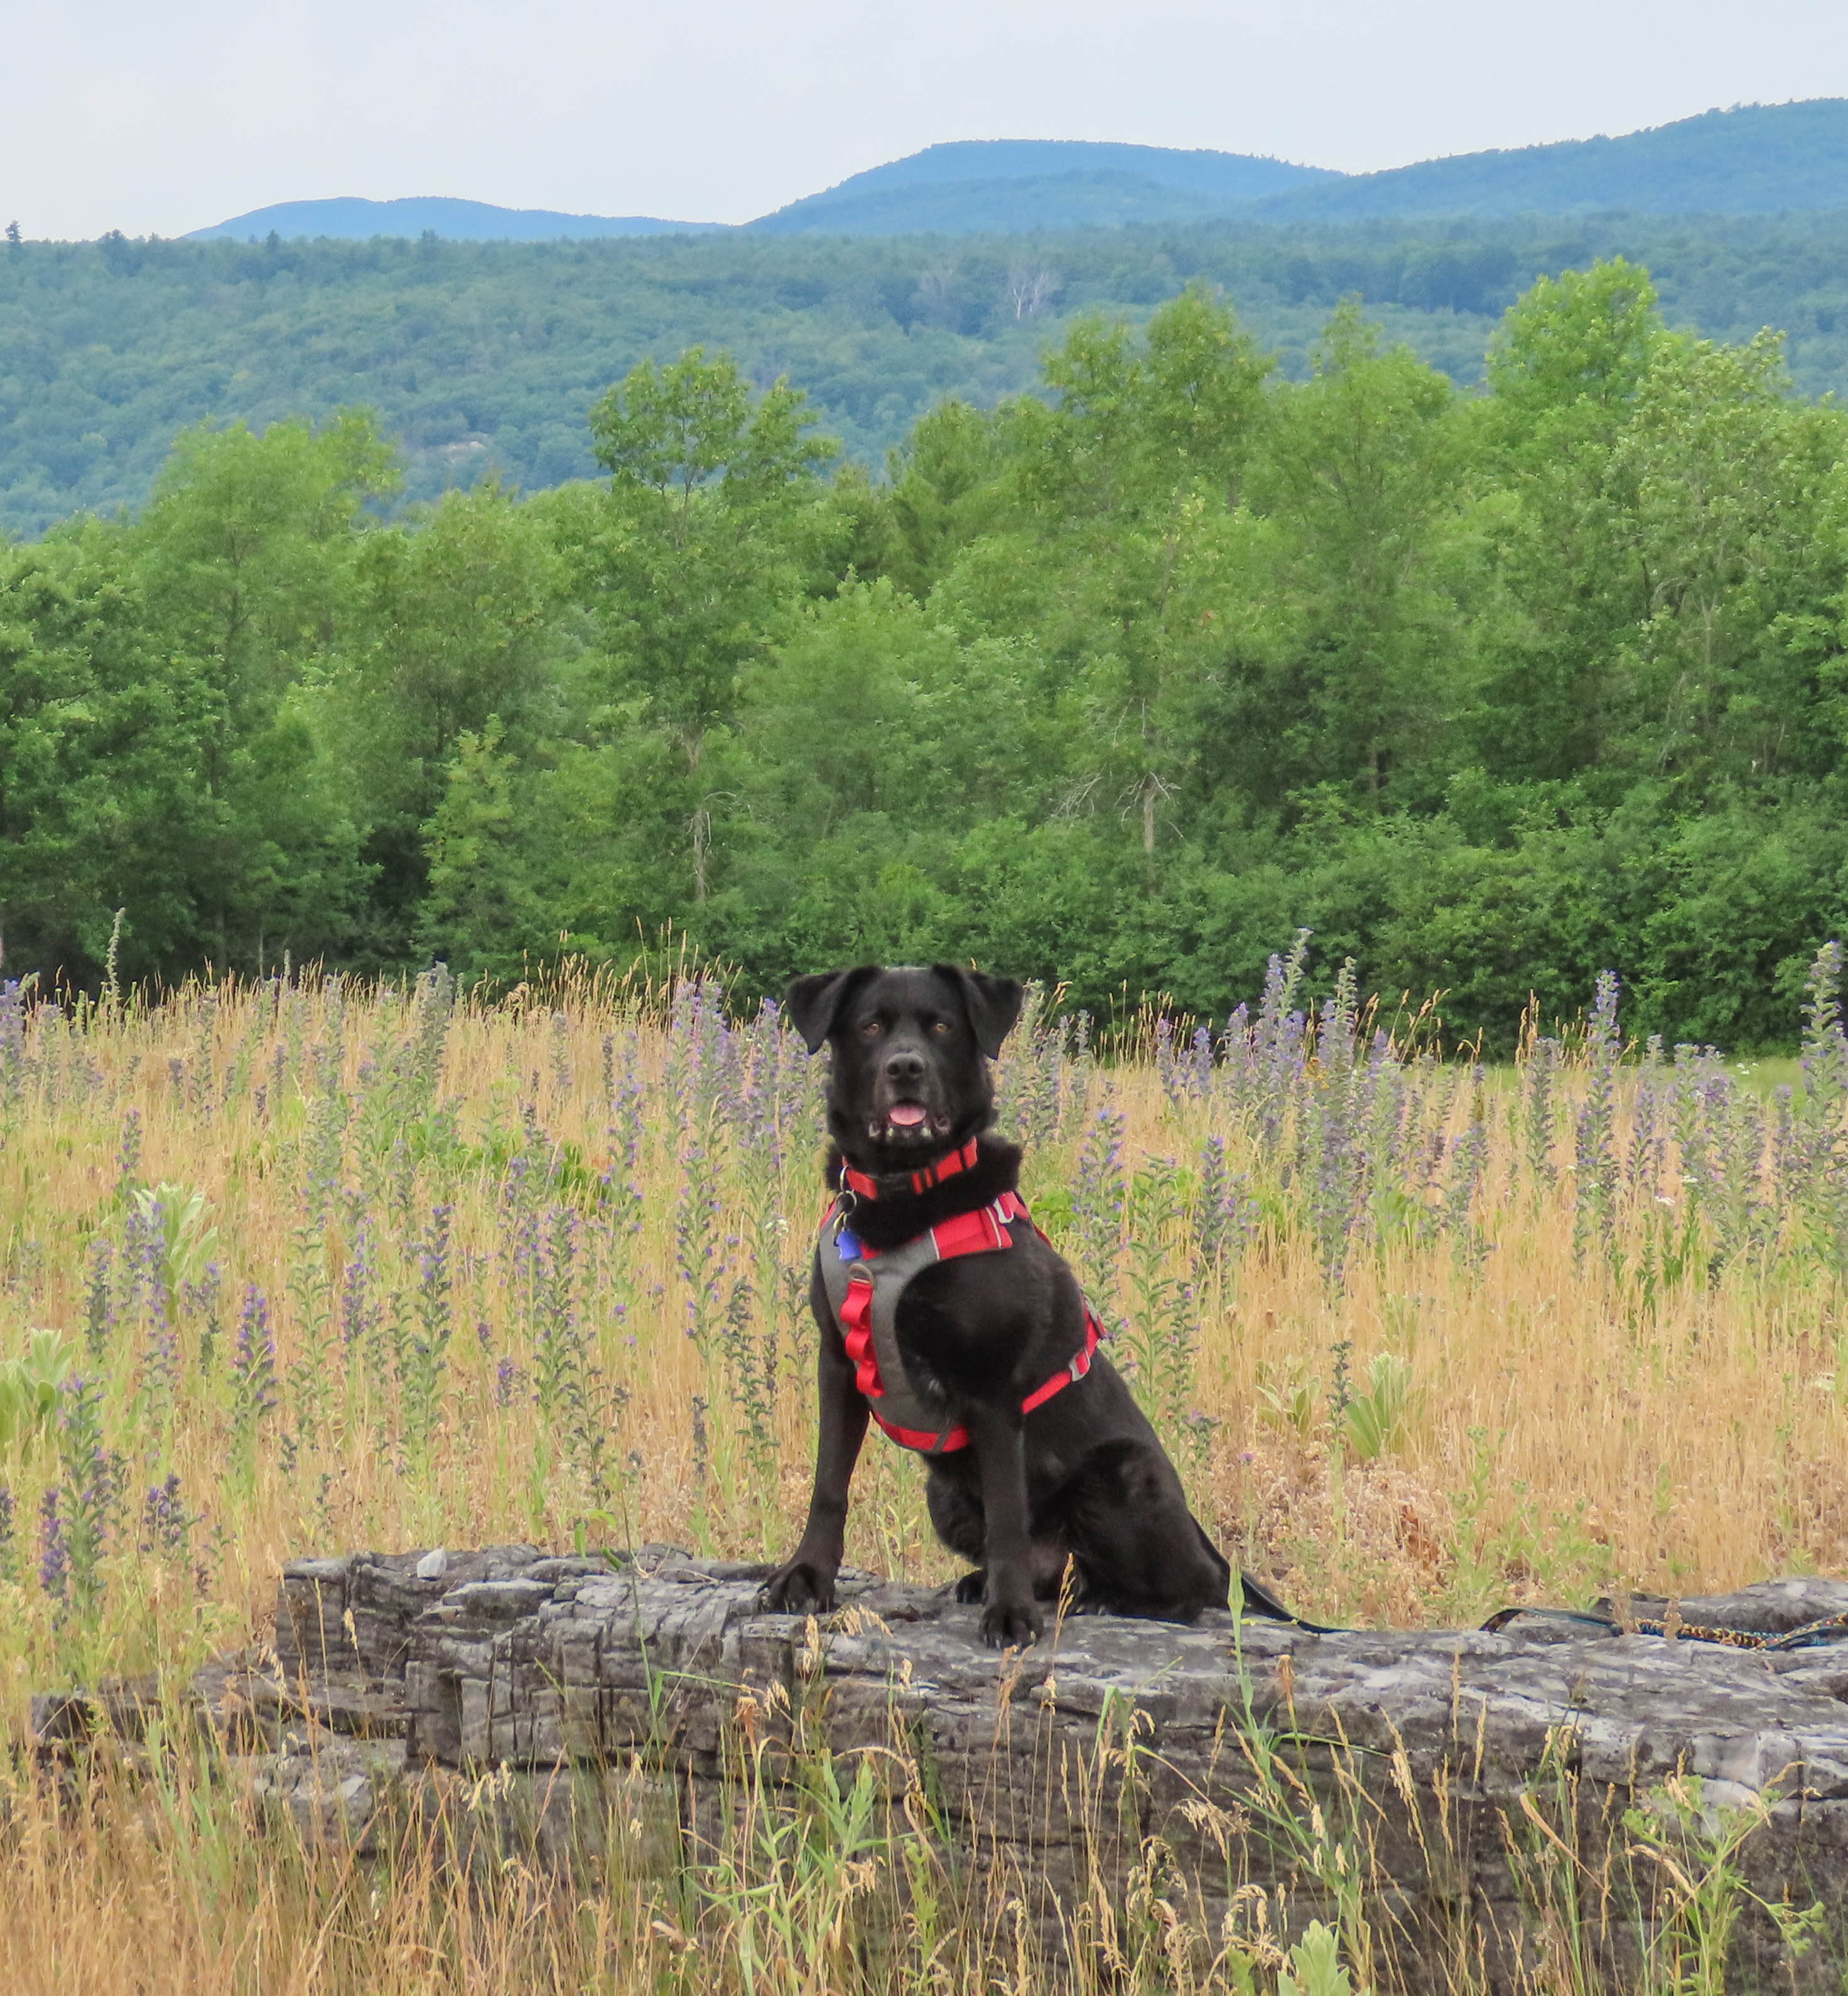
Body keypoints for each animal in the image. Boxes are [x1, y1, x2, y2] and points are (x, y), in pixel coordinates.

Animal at [758, 958, 1237, 1644]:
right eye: (871, 1025)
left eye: (941, 1025)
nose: (906, 1066)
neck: (905, 1194)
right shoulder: (839, 1362)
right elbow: (829, 1486)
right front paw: (807, 1575)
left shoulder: (993, 1387)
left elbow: (1007, 1513)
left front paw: (1009, 1614)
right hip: (943, 1494)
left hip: (1124, 1470)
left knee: (1189, 1589)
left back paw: (1100, 1598)